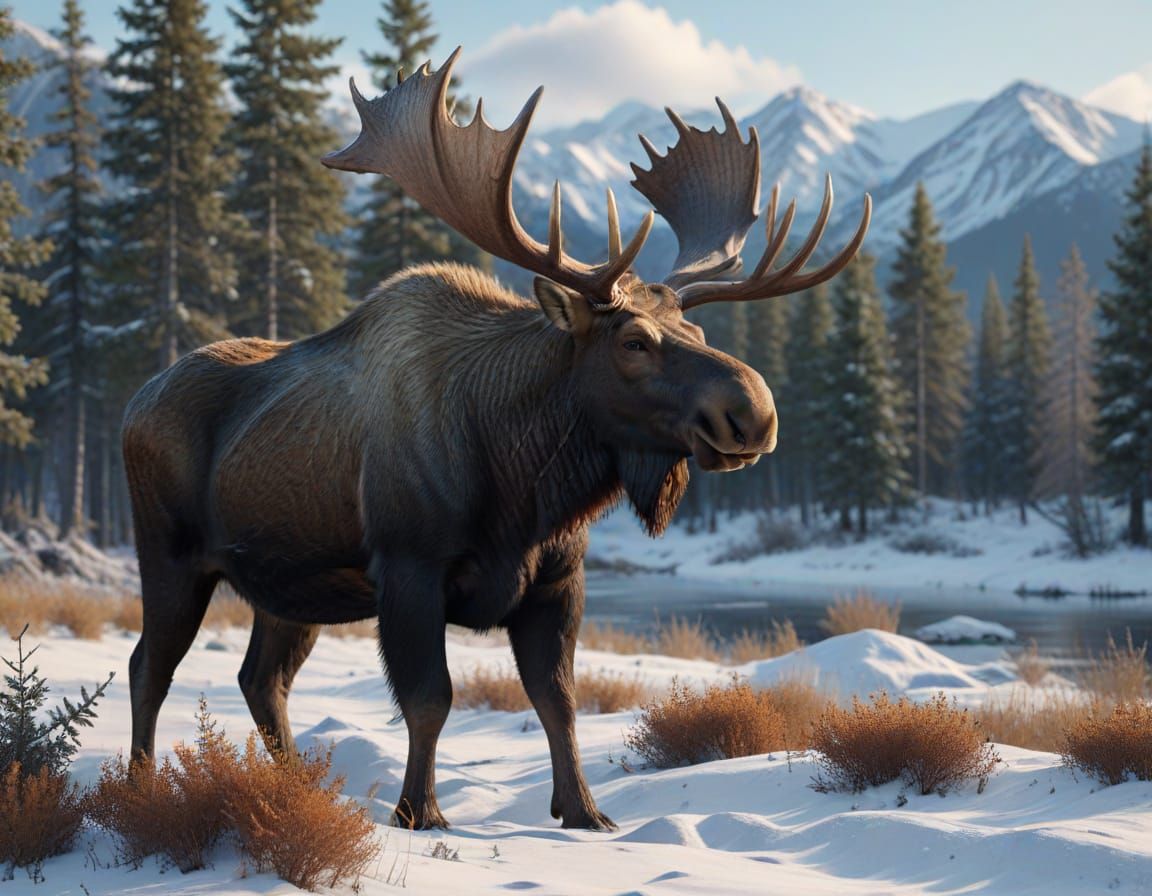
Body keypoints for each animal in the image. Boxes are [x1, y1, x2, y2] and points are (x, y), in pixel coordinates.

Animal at [122, 48, 870, 831]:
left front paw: (585, 812)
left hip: (290, 584)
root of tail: (134, 402)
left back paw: (302, 790)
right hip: (169, 551)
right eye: (633, 341)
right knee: (151, 665)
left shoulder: (557, 581)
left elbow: (558, 701)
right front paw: (419, 812)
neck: (523, 489)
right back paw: (140, 787)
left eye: (694, 329)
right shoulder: (409, 566)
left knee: (260, 679)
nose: (754, 413)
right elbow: (430, 700)